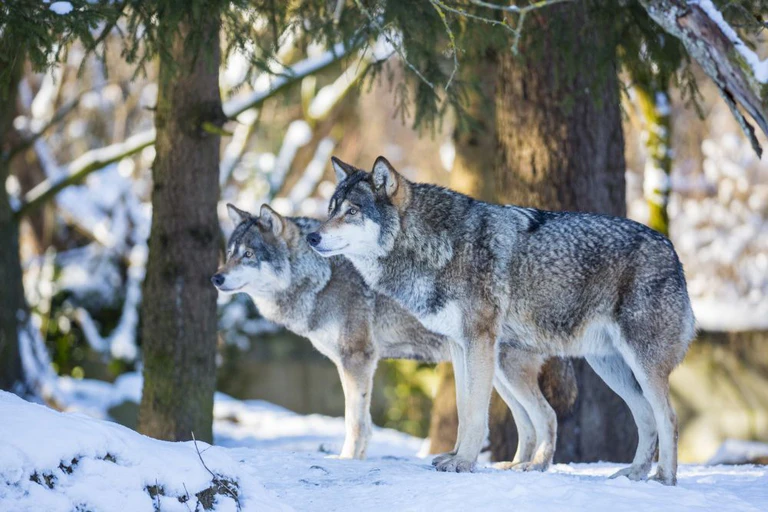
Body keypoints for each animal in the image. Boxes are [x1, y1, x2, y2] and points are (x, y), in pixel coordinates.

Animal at [306, 156, 696, 485]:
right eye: (330, 211)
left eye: (352, 211)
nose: (312, 236)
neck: (434, 245)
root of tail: (673, 251)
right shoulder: (459, 345)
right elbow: (464, 407)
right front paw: (455, 456)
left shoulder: (479, 339)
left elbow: (475, 411)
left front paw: (463, 463)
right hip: (602, 367)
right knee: (644, 416)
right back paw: (633, 474)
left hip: (638, 364)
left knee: (669, 417)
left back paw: (664, 478)